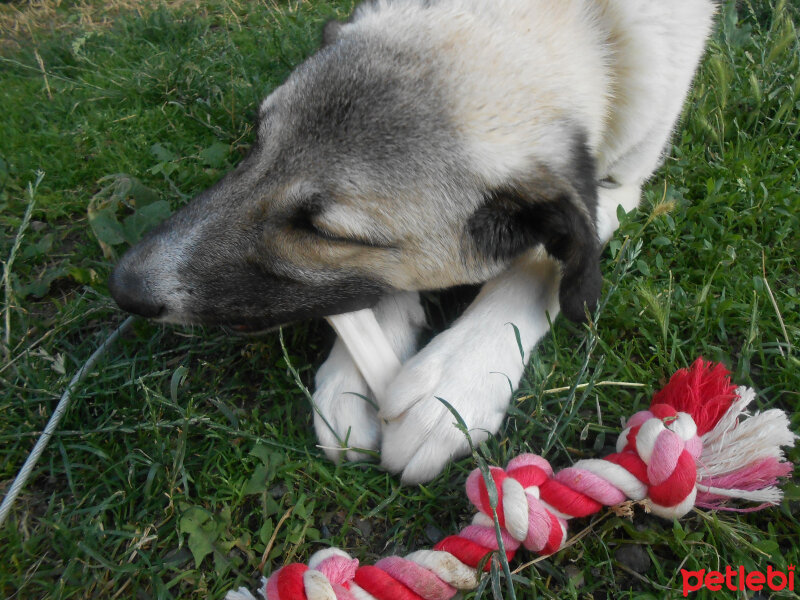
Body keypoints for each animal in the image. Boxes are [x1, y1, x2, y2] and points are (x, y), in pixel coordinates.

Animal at [109, 0, 716, 486]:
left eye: (324, 232)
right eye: (256, 144)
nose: (123, 287)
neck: (574, 15)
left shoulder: (617, 187)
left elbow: (540, 263)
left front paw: (453, 385)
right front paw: (358, 368)